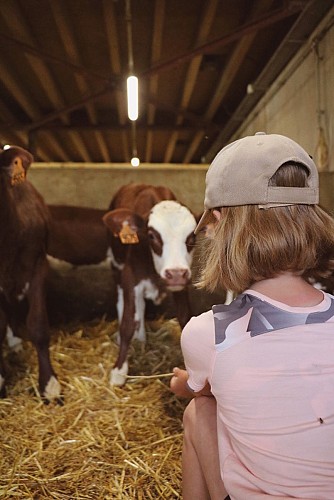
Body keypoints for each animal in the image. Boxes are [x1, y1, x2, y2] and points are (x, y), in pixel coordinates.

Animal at [103, 182, 197, 384]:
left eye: (192, 237)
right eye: (152, 236)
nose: (175, 273)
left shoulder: (182, 283)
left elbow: (185, 317)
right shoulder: (130, 278)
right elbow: (127, 323)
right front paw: (119, 370)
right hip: (116, 263)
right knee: (122, 300)